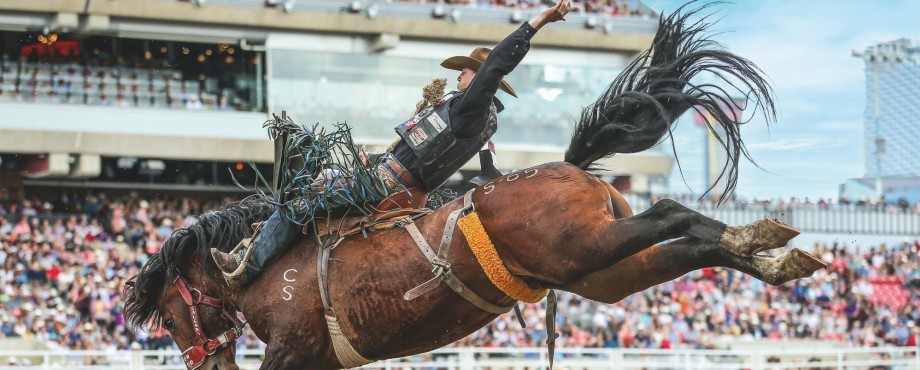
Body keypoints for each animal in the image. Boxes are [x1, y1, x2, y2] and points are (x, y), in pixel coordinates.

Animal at [120, 5, 828, 370]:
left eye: (171, 316)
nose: (204, 363)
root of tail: (567, 166)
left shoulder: (292, 351)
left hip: (585, 247)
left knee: (672, 211)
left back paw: (761, 239)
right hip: (600, 270)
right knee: (687, 244)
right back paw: (773, 251)